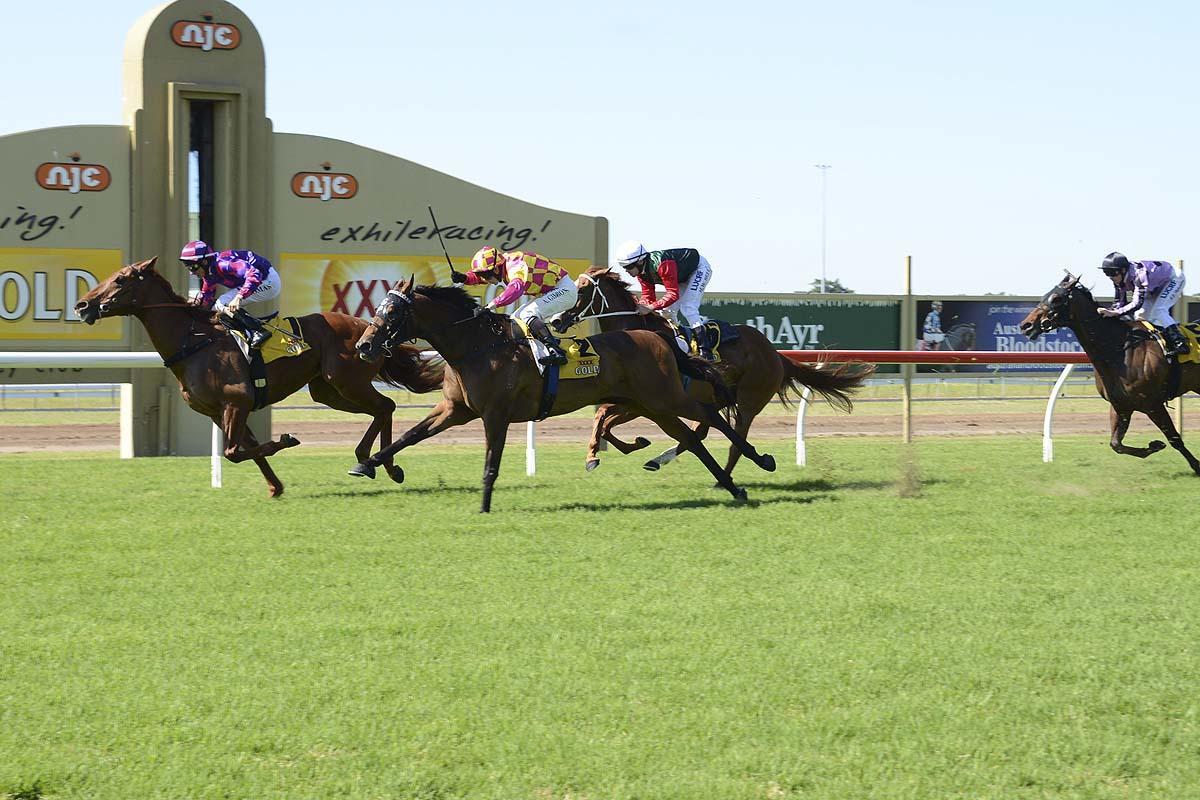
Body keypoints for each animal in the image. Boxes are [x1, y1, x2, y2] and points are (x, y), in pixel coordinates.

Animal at [74, 257, 445, 496]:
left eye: (121, 279)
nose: (82, 305)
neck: (193, 342)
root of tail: (368, 328)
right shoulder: (219, 410)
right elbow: (245, 448)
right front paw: (275, 486)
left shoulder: (237, 400)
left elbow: (233, 451)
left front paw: (287, 440)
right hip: (327, 391)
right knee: (383, 408)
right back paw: (381, 463)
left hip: (347, 382)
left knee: (385, 406)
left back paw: (375, 462)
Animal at [353, 279, 780, 512]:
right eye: (378, 308)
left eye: (392, 313)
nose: (364, 346)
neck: (477, 348)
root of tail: (656, 337)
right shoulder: (454, 409)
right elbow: (410, 436)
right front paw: (368, 464)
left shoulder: (495, 413)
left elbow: (491, 462)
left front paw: (485, 505)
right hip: (650, 405)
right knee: (694, 435)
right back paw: (728, 483)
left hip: (665, 399)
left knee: (713, 419)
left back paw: (758, 463)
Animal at [552, 266, 873, 473]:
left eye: (581, 291)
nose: (556, 320)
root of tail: (775, 354)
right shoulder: (639, 401)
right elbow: (603, 420)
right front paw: (615, 449)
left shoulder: (650, 401)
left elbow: (604, 420)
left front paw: (618, 448)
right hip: (716, 397)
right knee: (703, 430)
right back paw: (659, 459)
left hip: (749, 400)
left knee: (734, 438)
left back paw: (727, 477)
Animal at [1020, 273, 1200, 474]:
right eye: (1045, 295)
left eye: (1057, 298)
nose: (1026, 325)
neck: (1119, 349)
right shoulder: (1120, 405)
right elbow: (1116, 444)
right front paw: (1154, 446)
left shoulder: (1152, 404)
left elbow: (1174, 438)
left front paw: (1197, 466)